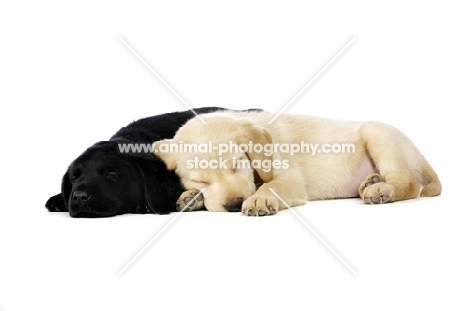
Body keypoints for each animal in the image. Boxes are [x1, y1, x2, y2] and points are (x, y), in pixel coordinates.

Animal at [154, 111, 442, 217]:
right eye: (201, 179)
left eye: (237, 165)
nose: (234, 204)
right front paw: (190, 197)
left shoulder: (288, 176)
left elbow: (270, 186)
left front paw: (259, 199)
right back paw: (371, 181)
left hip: (377, 132)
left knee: (409, 183)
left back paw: (382, 189)